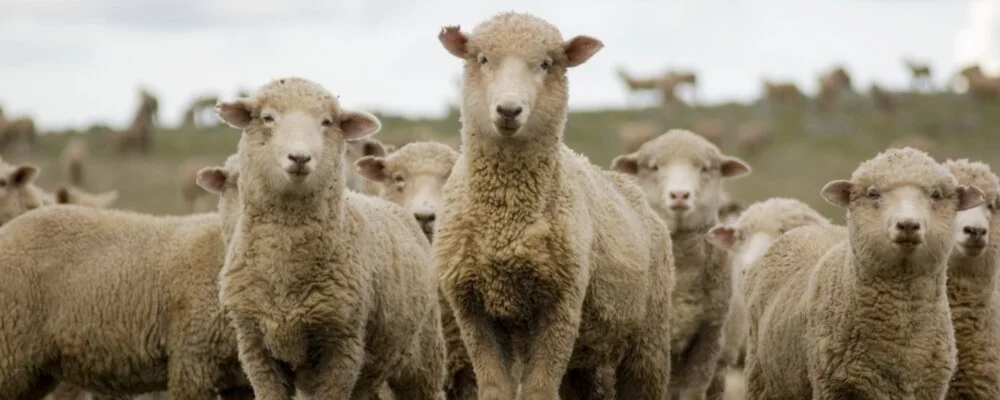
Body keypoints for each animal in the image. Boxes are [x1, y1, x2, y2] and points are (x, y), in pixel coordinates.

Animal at [215, 76, 445, 399]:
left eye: (326, 122)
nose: (300, 157)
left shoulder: (341, 347)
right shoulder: (255, 349)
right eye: (268, 118)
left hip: (424, 358)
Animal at [435, 12, 675, 399]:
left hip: (648, 336)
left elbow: (538, 391)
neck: (507, 220)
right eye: (483, 59)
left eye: (546, 64)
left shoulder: (560, 308)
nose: (508, 110)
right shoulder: (471, 309)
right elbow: (494, 389)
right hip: (585, 352)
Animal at [742, 147, 984, 398]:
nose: (908, 225)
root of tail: (806, 228)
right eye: (873, 193)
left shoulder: (930, 388)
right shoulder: (838, 387)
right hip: (761, 378)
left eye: (936, 195)